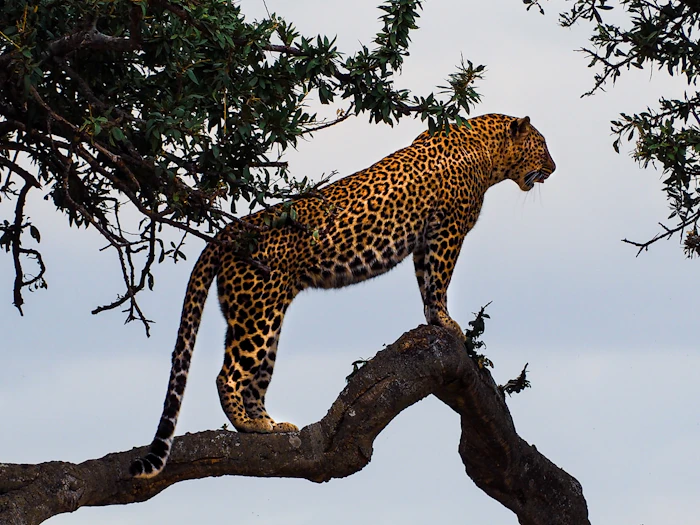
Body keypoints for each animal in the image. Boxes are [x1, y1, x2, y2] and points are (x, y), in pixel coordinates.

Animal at [130, 113, 556, 478]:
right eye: (542, 146)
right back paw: (249, 425)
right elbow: (439, 280)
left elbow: (425, 282)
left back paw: (269, 426)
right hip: (258, 315)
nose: (553, 169)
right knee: (228, 375)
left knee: (254, 377)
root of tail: (233, 229)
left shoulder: (424, 241)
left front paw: (434, 320)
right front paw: (448, 323)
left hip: (259, 316)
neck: (488, 153)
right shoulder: (447, 230)